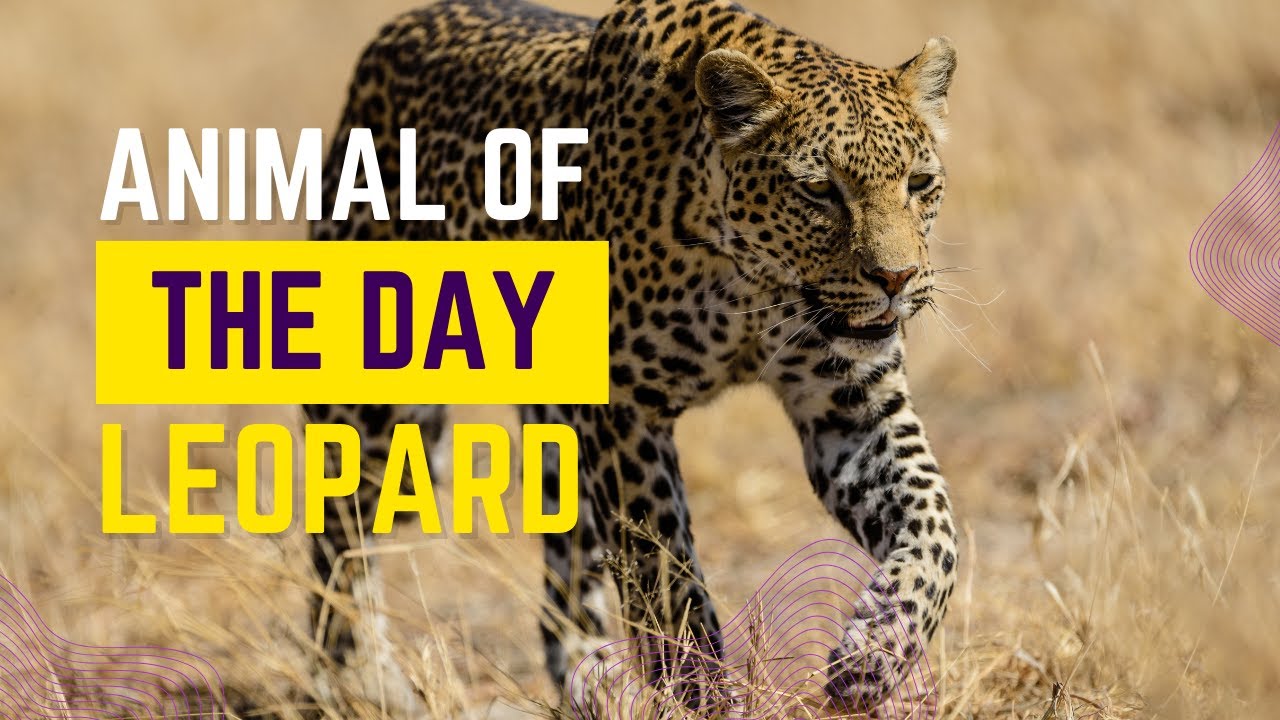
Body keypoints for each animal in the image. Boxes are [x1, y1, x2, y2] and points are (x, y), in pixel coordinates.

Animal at [302, 0, 960, 714]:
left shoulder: (851, 409)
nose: (896, 278)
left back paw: (592, 682)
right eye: (818, 192)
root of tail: (390, 35)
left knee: (564, 578)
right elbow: (666, 574)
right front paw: (704, 697)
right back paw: (358, 682)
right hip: (373, 398)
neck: (750, 281)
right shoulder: (624, 414)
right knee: (339, 536)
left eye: (921, 183)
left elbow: (936, 526)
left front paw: (875, 655)